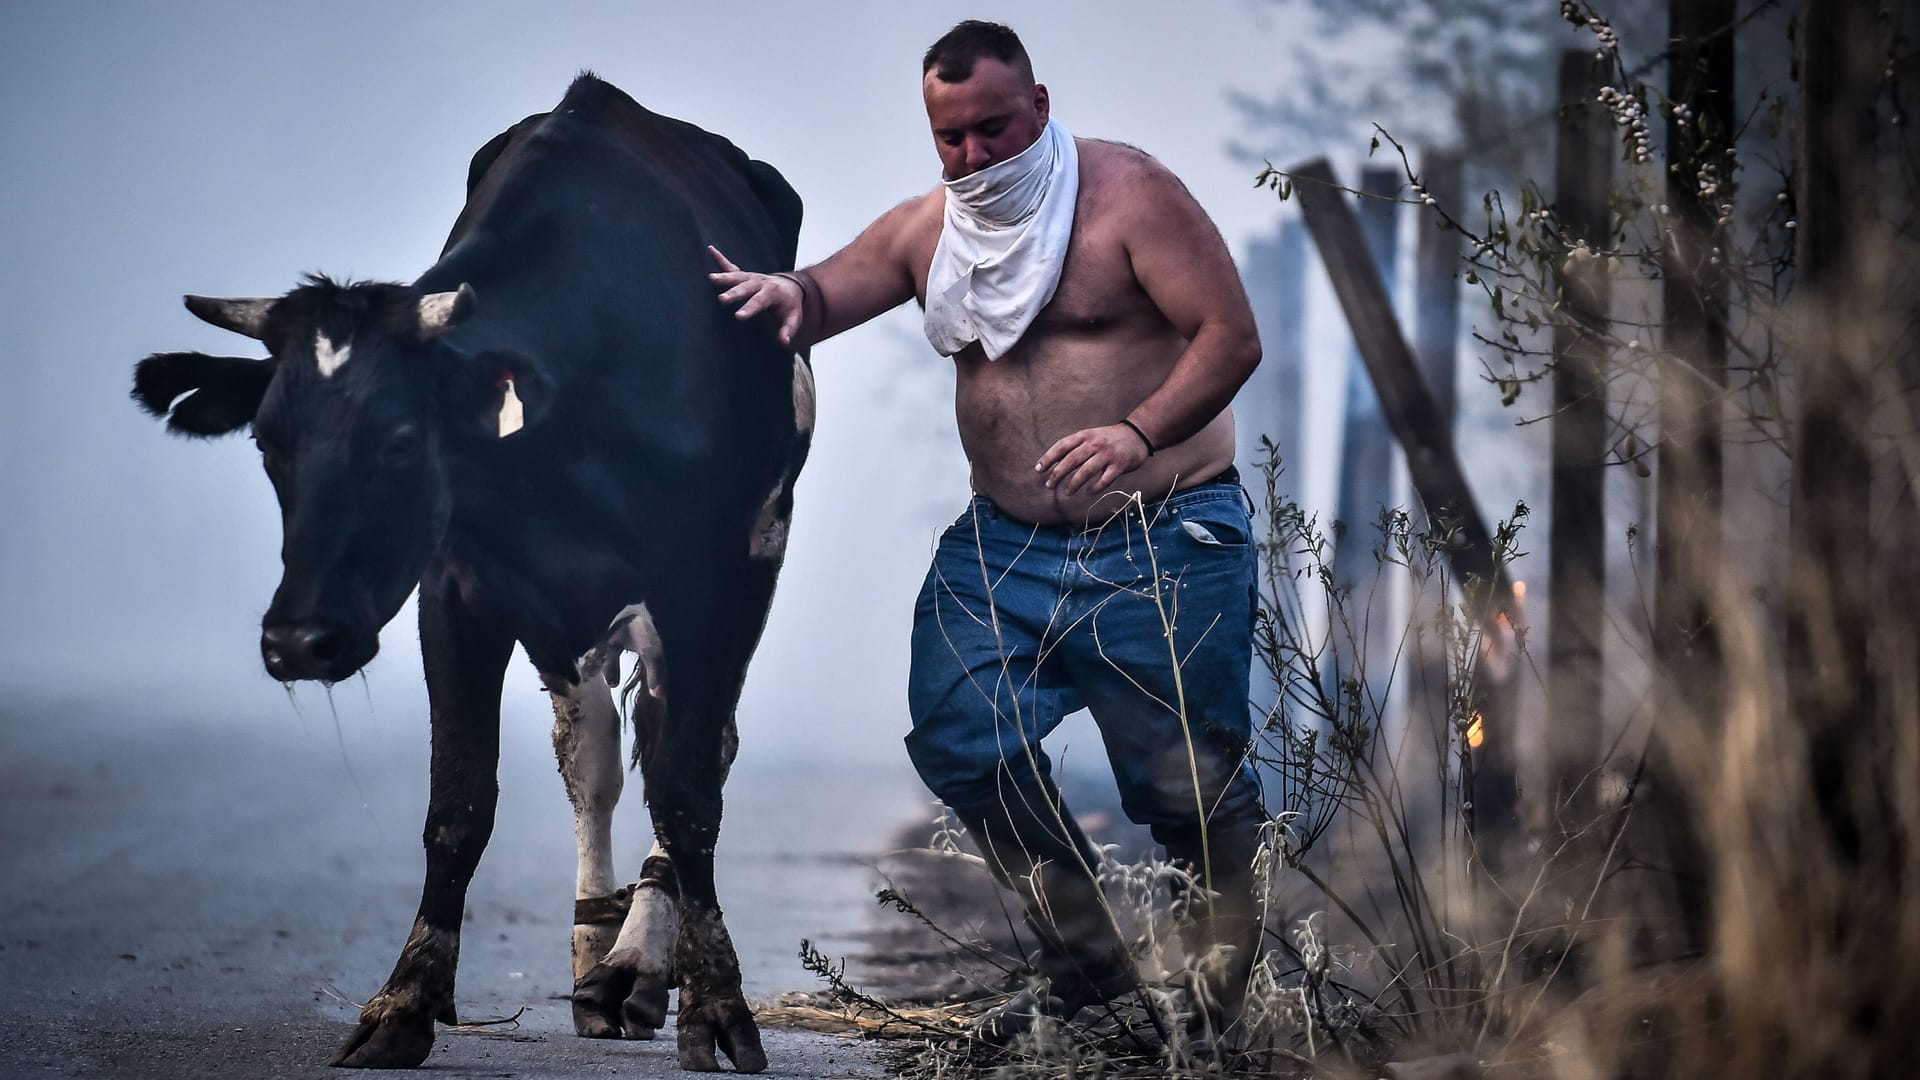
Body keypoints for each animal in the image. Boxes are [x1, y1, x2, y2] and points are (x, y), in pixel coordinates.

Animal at [125, 77, 802, 1068]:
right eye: (267, 444)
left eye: (403, 439)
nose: (297, 640)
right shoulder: (454, 591)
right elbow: (458, 803)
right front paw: (403, 1000)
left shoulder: (711, 577)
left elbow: (686, 793)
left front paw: (716, 1006)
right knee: (592, 757)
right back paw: (597, 955)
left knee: (690, 751)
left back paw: (638, 963)